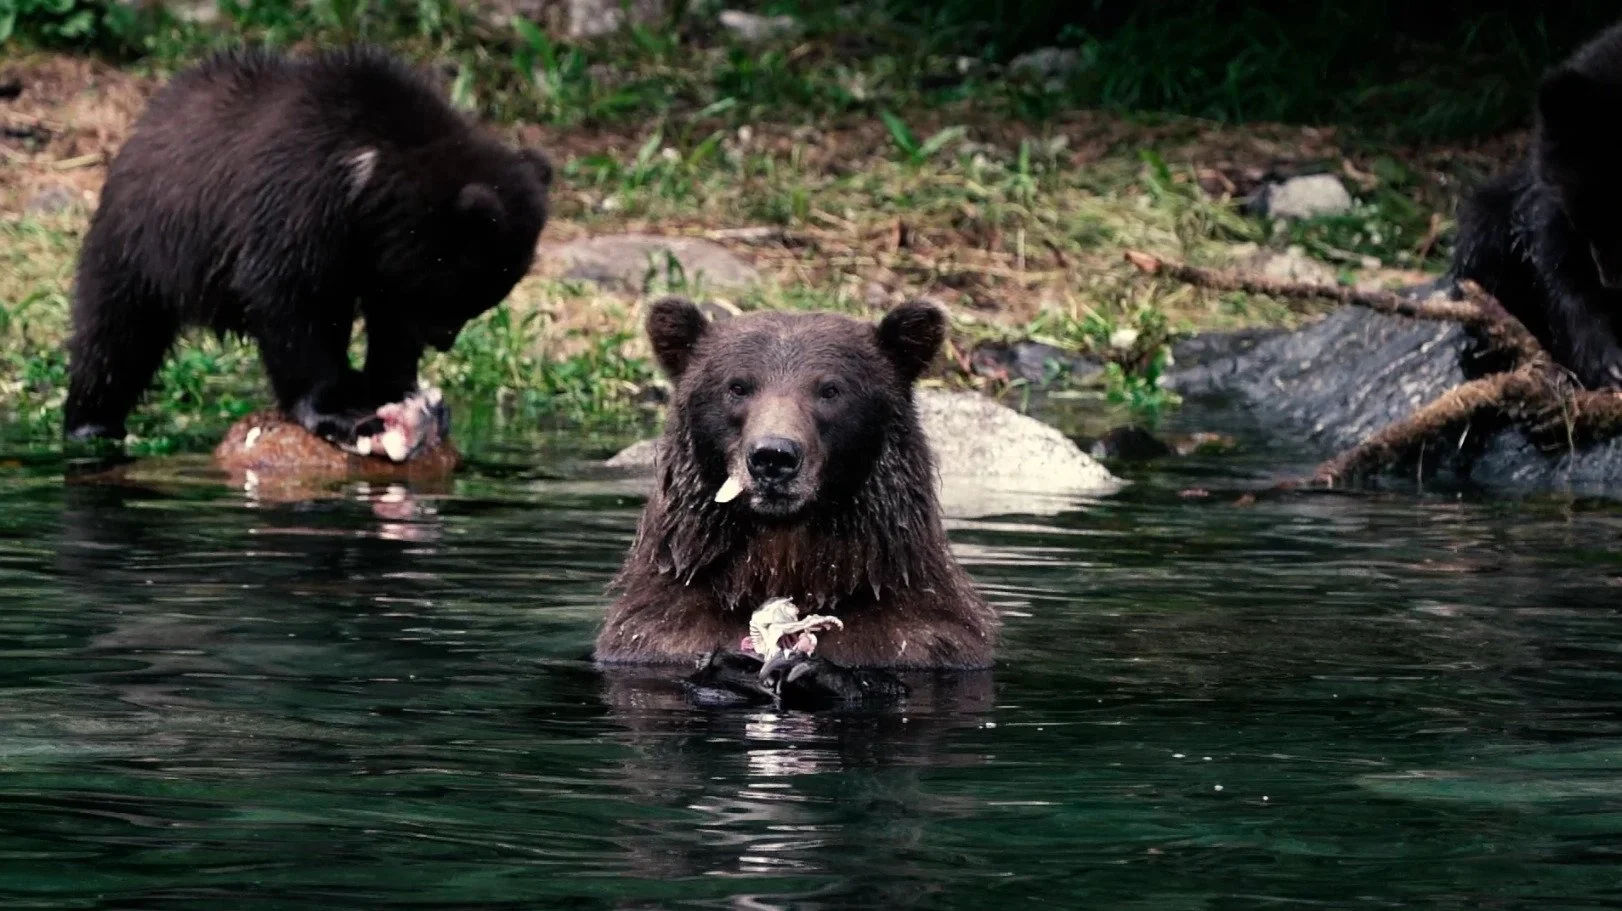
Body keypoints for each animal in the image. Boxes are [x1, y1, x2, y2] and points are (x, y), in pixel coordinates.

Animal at [63, 45, 552, 453]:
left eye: (481, 299)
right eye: (460, 293)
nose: (444, 339)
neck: (367, 184)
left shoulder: (377, 258)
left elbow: (387, 320)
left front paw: (398, 391)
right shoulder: (299, 202)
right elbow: (288, 301)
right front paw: (339, 414)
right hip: (145, 240)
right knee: (116, 331)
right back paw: (92, 423)